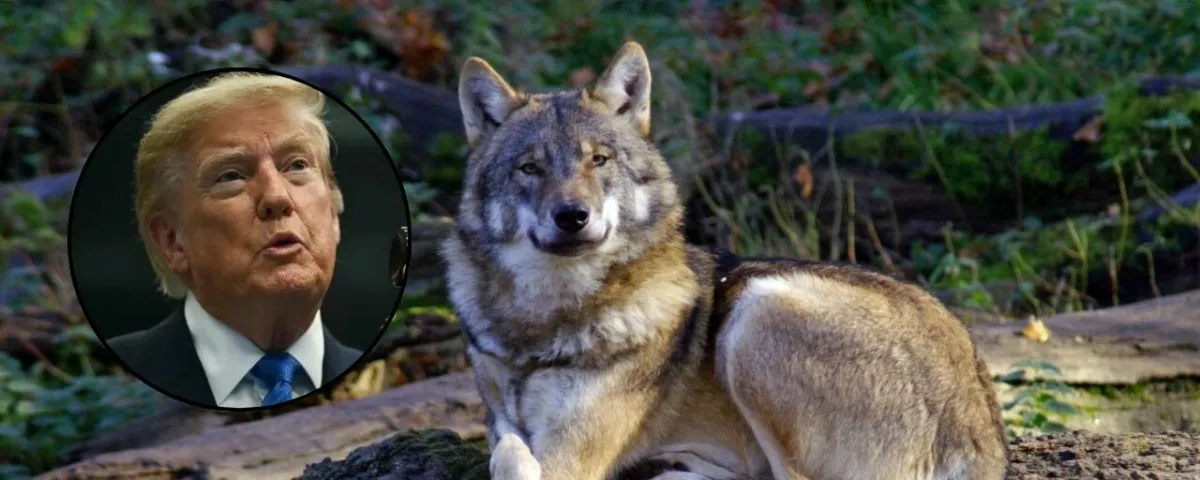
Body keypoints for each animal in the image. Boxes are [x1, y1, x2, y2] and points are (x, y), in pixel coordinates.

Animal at [439, 41, 1009, 480]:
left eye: (599, 160)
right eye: (529, 168)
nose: (572, 216)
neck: (542, 322)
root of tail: (983, 428)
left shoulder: (574, 454)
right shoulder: (501, 418)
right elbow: (507, 452)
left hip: (757, 311)